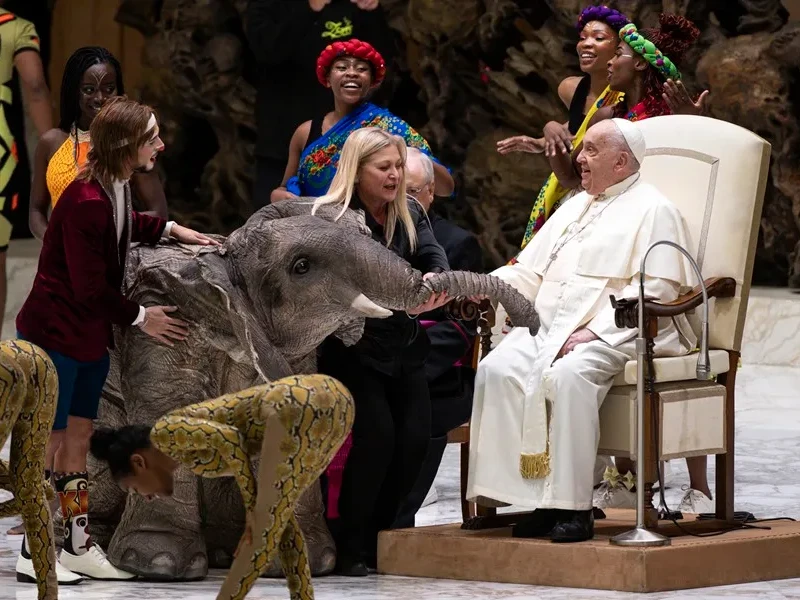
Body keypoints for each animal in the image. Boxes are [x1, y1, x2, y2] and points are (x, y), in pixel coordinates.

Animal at [87, 200, 536, 580]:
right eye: (301, 267)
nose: (529, 325)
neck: (224, 264)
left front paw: (307, 559)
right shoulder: (162, 322)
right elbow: (165, 413)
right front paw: (160, 565)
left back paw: (223, 552)